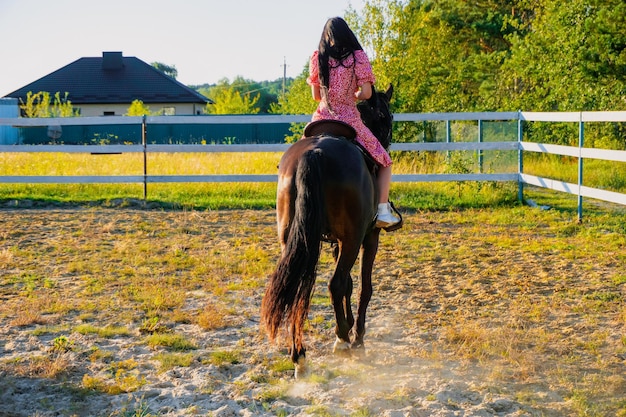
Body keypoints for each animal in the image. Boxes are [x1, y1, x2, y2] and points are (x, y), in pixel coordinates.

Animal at [260, 84, 392, 376]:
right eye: (387, 117)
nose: (387, 142)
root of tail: (313, 153)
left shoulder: (335, 243)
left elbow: (350, 284)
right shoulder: (368, 237)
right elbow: (362, 286)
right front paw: (357, 336)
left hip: (292, 240)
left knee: (300, 288)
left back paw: (299, 355)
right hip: (353, 239)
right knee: (335, 283)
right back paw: (343, 340)